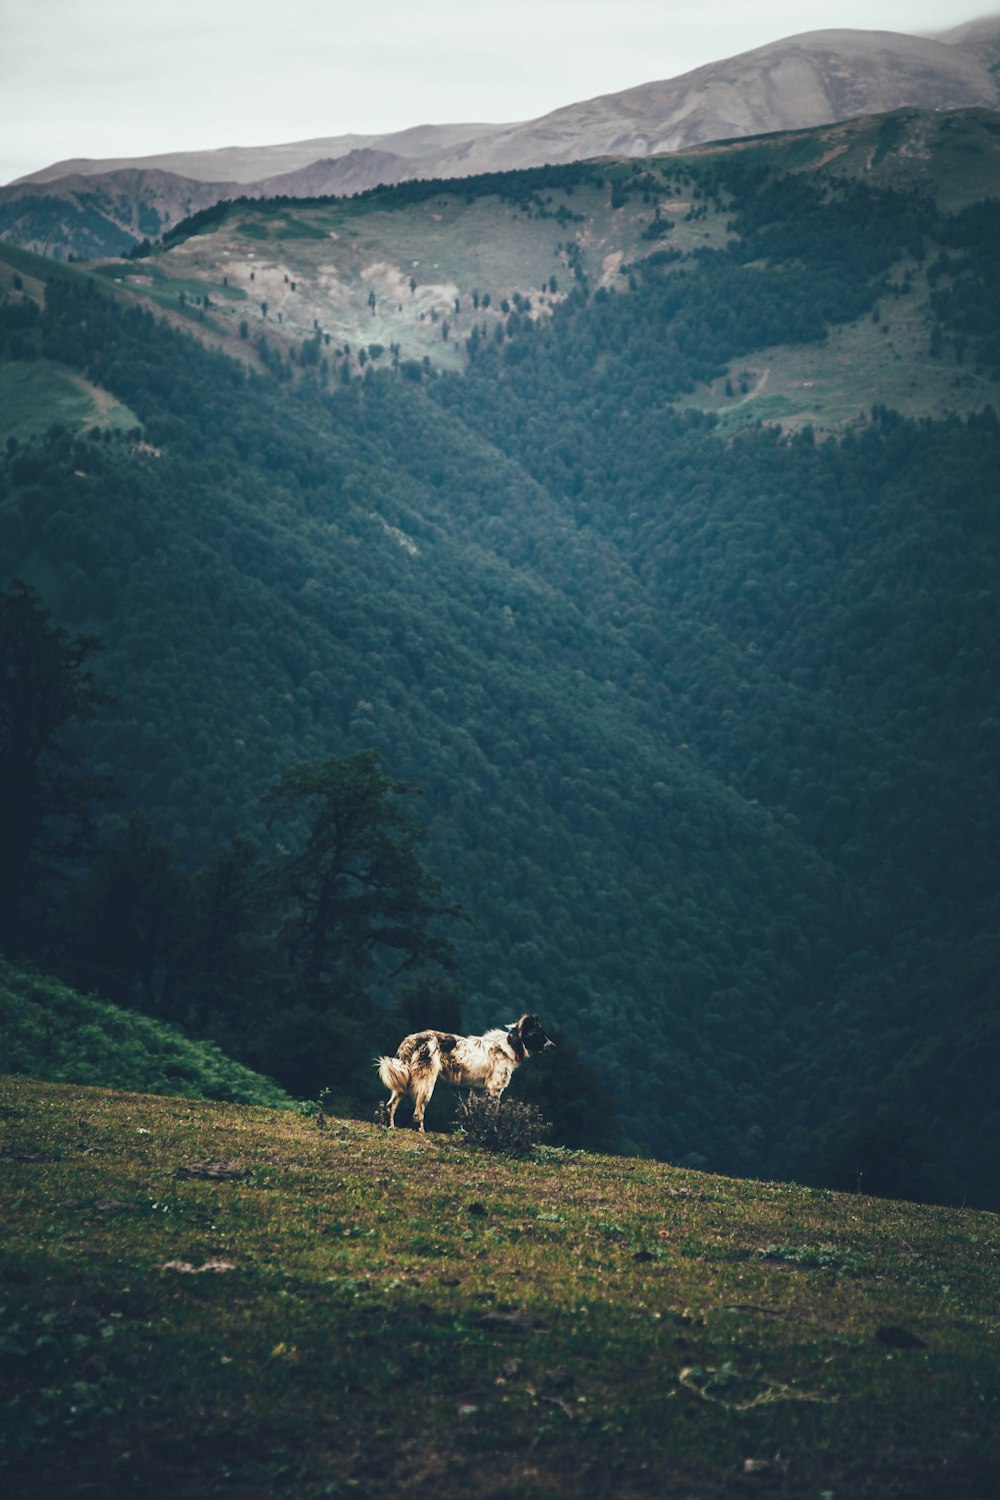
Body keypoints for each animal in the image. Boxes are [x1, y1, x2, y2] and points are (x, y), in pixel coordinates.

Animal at [374, 1014, 551, 1128]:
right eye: (540, 1034)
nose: (553, 1046)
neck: (511, 1043)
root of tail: (413, 1039)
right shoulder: (494, 1090)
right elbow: (493, 1117)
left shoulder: (478, 1091)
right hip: (427, 1083)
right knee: (418, 1114)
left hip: (404, 1082)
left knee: (390, 1106)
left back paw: (391, 1128)